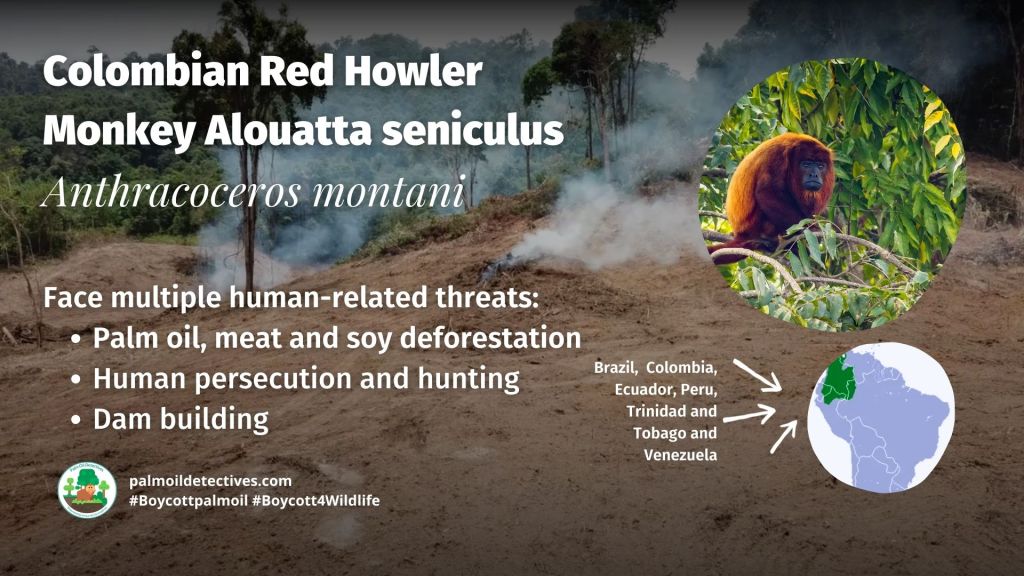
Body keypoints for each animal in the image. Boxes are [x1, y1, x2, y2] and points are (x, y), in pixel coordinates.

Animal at [707, 132, 834, 264]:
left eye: (820, 166)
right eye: (806, 164)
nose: (814, 175)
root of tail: (741, 235)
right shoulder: (777, 156)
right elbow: (766, 192)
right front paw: (811, 228)